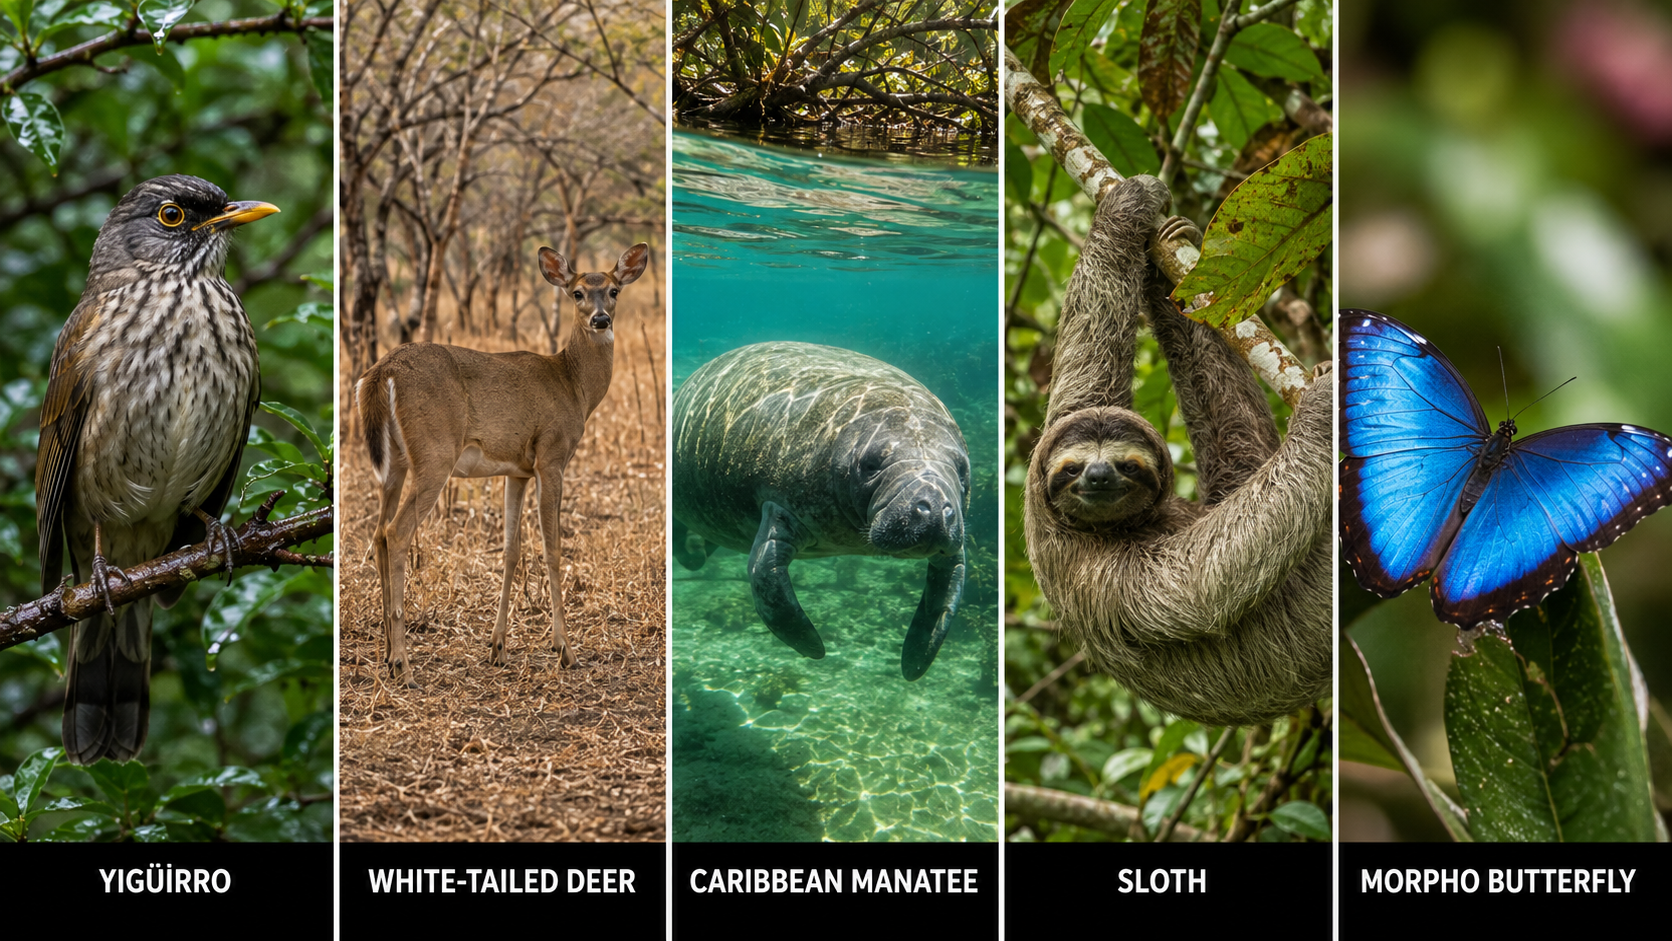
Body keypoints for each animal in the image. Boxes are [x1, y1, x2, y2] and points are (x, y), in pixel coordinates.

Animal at [356, 242, 649, 687]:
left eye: (614, 290)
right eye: (578, 292)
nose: (600, 320)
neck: (573, 384)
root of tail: (381, 371)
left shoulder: (517, 470)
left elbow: (512, 549)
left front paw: (497, 648)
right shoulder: (551, 455)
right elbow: (552, 547)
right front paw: (565, 650)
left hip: (396, 463)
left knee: (377, 534)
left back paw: (388, 655)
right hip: (435, 453)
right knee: (397, 531)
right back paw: (404, 665)